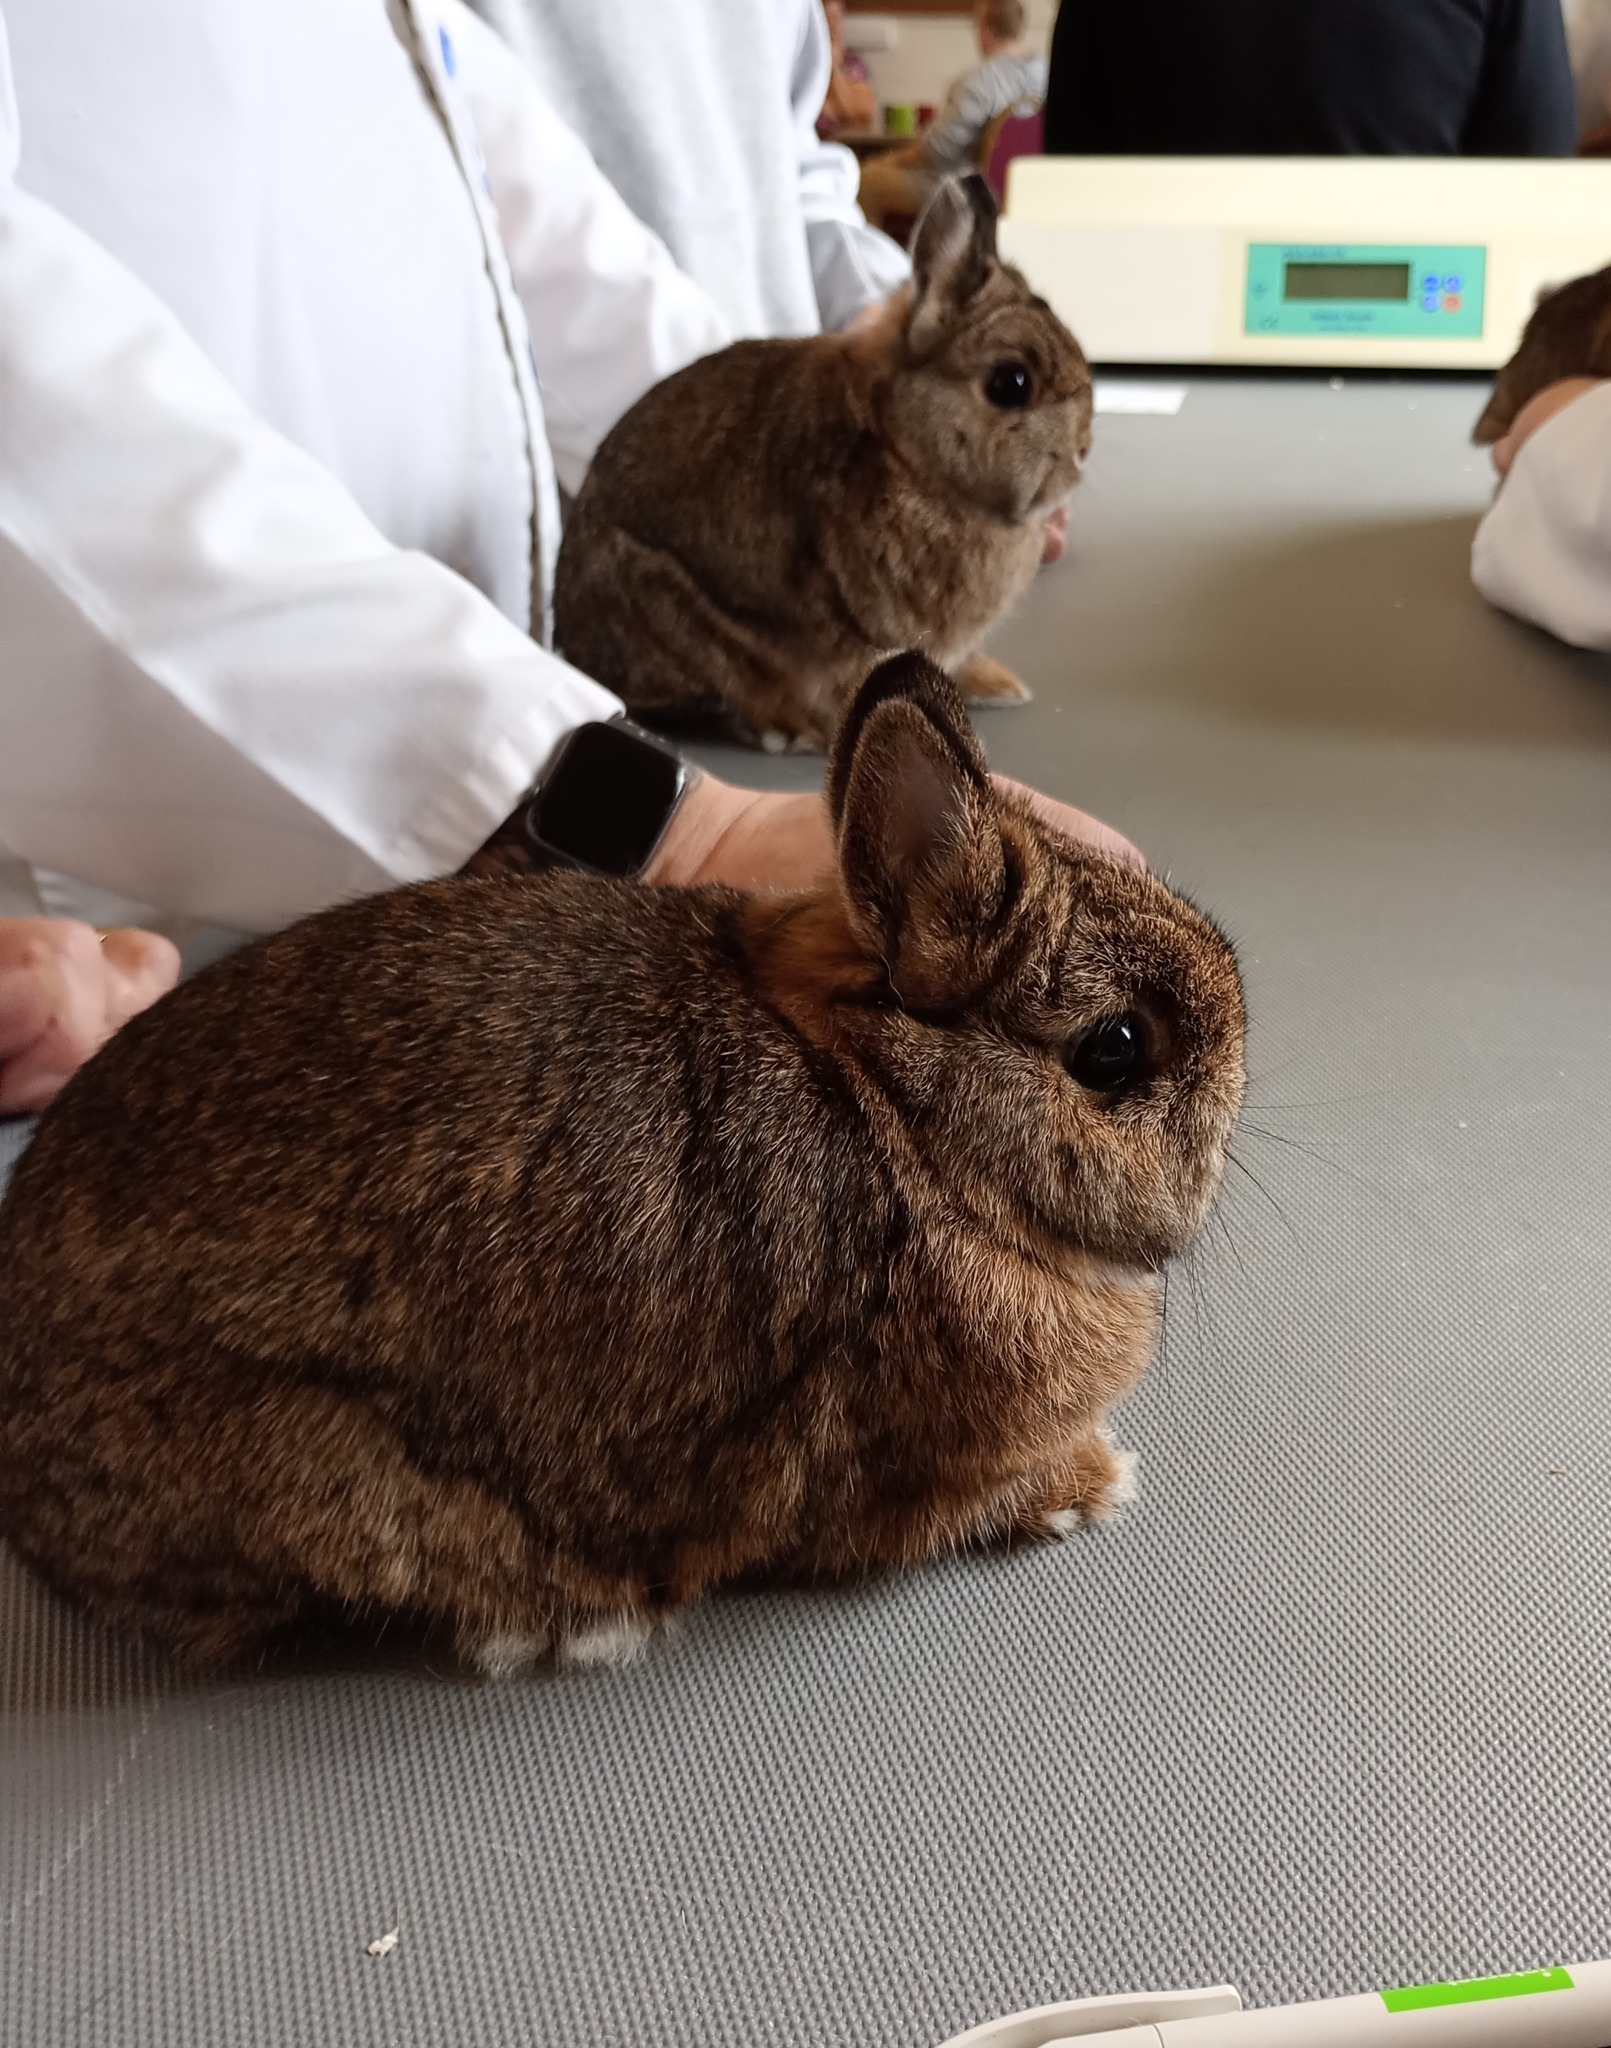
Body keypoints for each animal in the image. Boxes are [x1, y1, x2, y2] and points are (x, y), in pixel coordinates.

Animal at [553, 174, 1094, 752]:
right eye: (1010, 383)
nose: (1082, 450)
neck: (904, 450)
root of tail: (575, 639)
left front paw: (995, 684)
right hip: (680, 619)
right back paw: (790, 728)